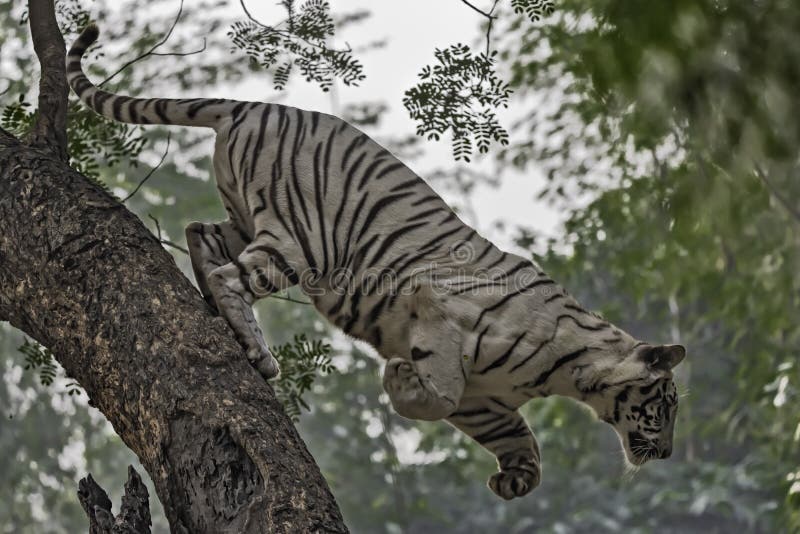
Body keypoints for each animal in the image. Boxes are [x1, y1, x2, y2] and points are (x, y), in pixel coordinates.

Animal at [66, 24, 686, 500]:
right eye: (665, 404)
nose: (667, 454)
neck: (569, 373)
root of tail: (253, 103)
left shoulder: (487, 398)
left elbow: (514, 435)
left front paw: (515, 481)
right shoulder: (441, 317)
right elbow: (439, 395)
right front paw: (398, 378)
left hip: (246, 217)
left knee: (201, 235)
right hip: (301, 241)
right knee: (229, 275)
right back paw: (257, 352)